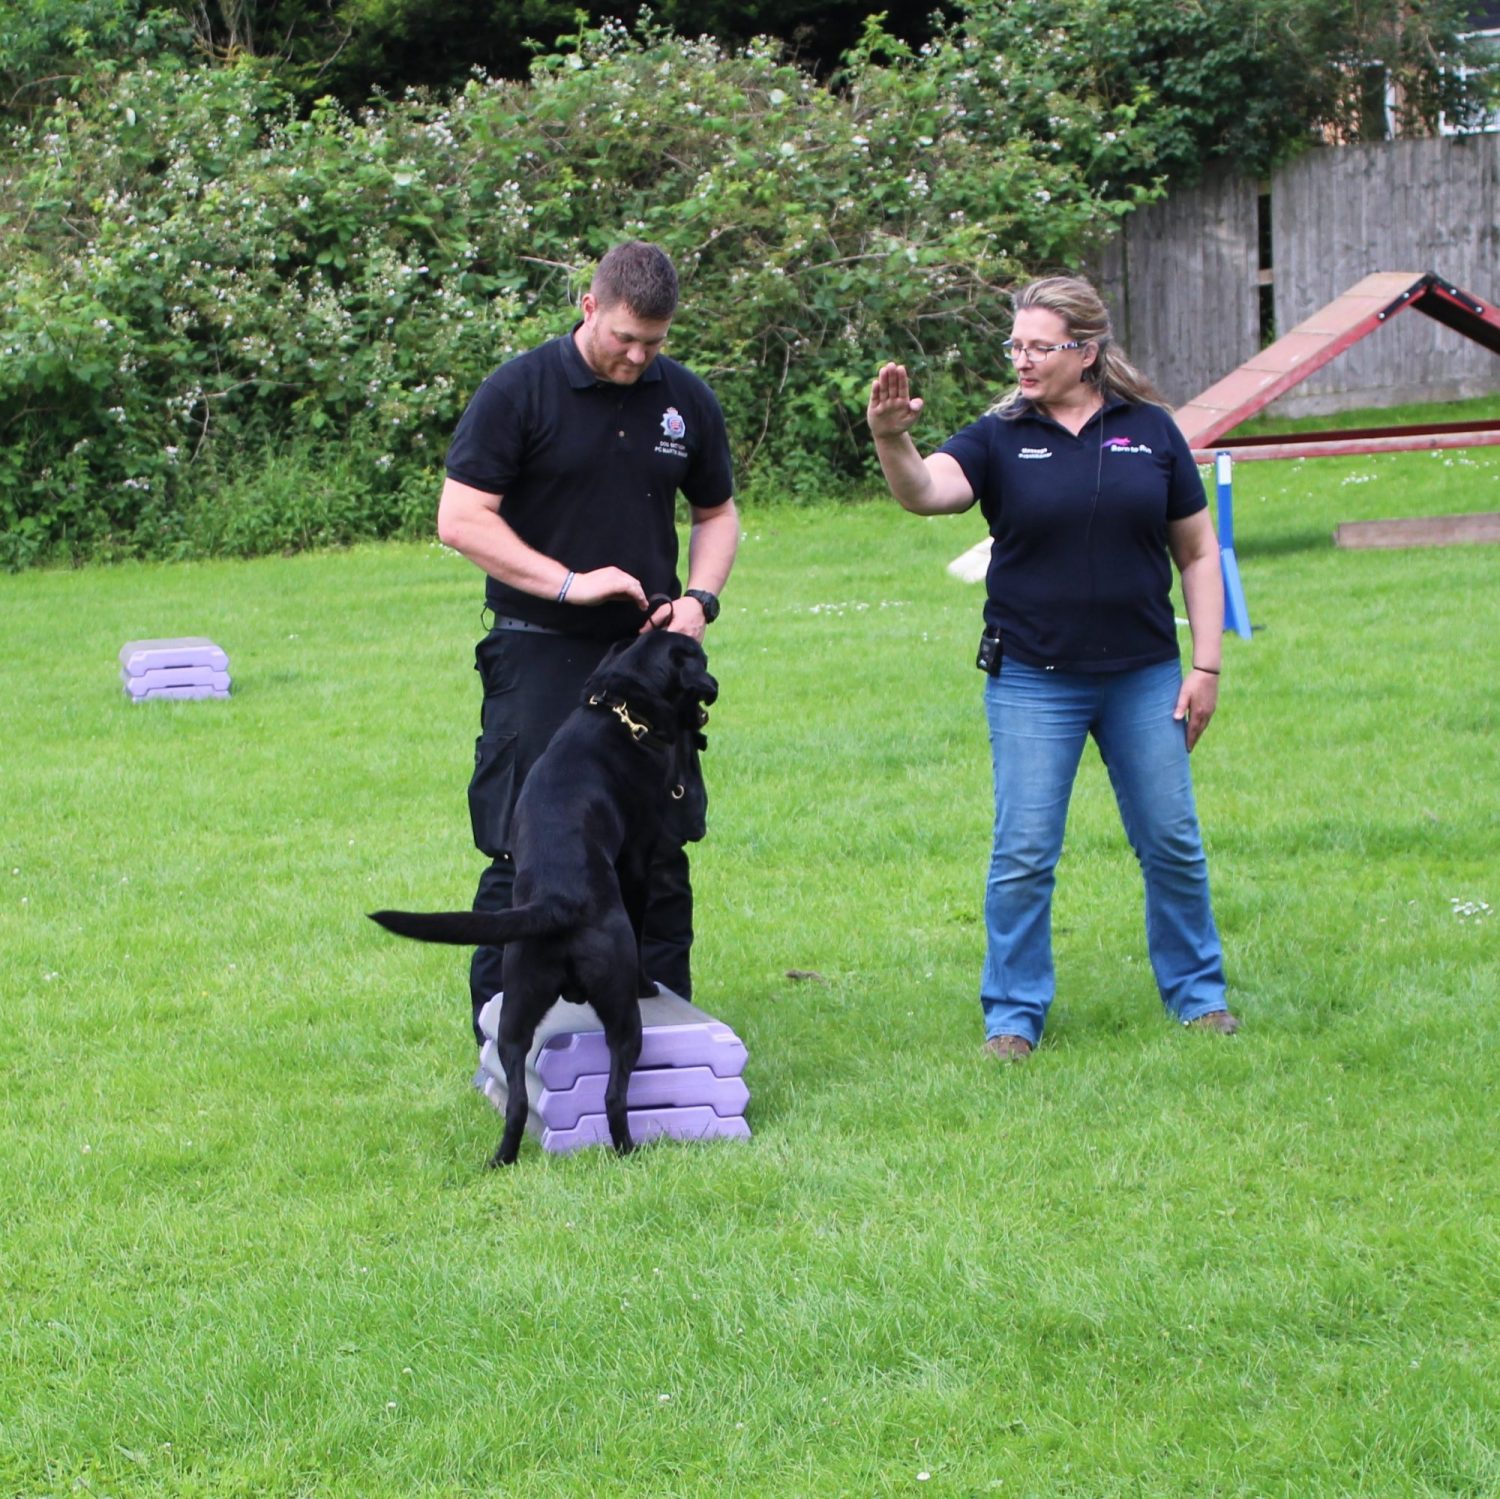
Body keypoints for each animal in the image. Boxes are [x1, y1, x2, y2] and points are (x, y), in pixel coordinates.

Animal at [366, 627, 711, 1164]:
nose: (711, 697)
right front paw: (650, 983)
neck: (618, 709)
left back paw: (502, 1160)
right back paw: (627, 1150)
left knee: (517, 1101)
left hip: (515, 1013)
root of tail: (558, 901)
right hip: (620, 1013)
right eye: (701, 662)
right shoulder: (638, 856)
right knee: (613, 1093)